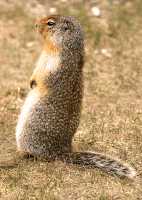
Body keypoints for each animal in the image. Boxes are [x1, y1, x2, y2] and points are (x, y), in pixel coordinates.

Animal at [15, 14, 136, 179]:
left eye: (50, 23)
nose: (35, 24)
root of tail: (61, 152)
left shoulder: (56, 66)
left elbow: (43, 78)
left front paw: (35, 83)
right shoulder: (43, 59)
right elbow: (35, 71)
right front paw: (30, 82)